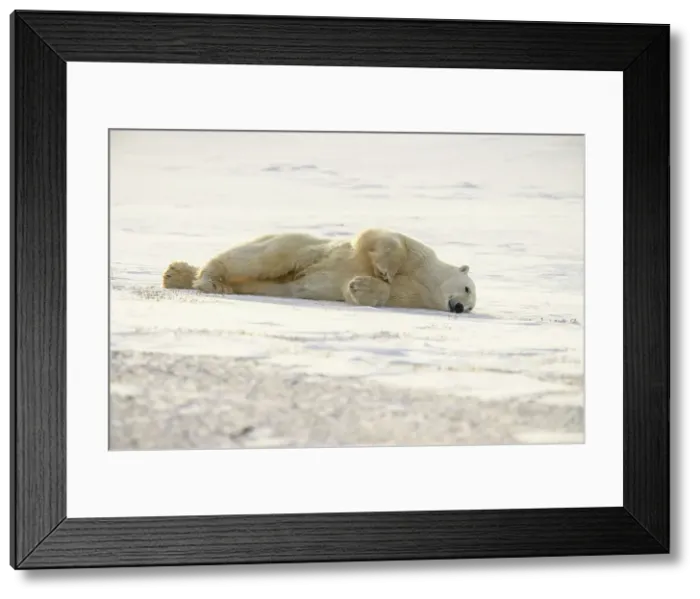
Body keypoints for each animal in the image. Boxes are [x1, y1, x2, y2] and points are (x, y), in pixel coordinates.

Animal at [161, 228, 477, 314]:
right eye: (467, 287)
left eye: (472, 306)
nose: (459, 307)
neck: (425, 282)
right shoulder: (418, 255)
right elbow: (383, 240)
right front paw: (385, 271)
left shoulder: (410, 296)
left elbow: (379, 294)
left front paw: (361, 286)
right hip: (300, 248)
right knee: (261, 258)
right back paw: (210, 280)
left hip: (275, 283)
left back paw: (177, 274)